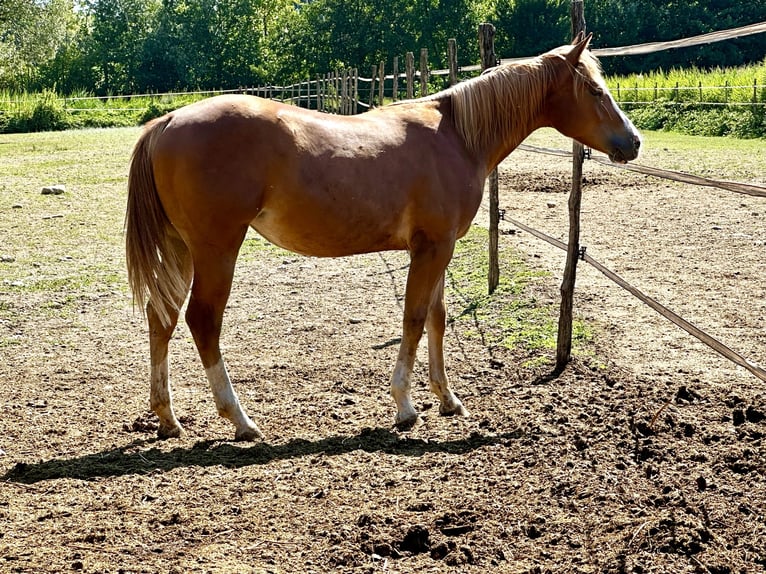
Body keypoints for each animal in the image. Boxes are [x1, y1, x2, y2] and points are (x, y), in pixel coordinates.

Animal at [127, 35, 640, 440]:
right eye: (595, 89)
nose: (633, 142)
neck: (457, 137)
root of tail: (166, 122)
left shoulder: (438, 247)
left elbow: (436, 318)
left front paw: (448, 399)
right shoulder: (432, 247)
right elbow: (414, 318)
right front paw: (405, 407)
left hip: (183, 250)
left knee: (161, 317)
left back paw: (167, 418)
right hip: (217, 250)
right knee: (203, 321)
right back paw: (240, 420)